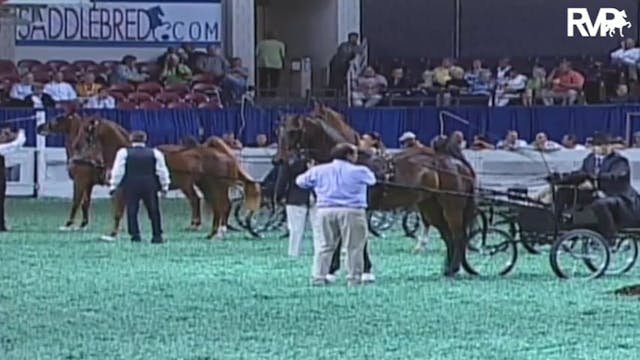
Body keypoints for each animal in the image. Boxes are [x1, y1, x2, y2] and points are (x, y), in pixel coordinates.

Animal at [35, 112, 205, 231]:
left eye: (57, 119)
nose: (39, 127)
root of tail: (190, 150)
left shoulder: (81, 181)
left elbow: (77, 202)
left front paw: (69, 224)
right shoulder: (90, 184)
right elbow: (86, 203)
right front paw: (83, 224)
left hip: (185, 185)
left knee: (194, 200)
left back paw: (194, 224)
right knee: (195, 200)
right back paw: (194, 224)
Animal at [74, 116, 262, 239]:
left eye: (87, 133)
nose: (76, 150)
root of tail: (221, 153)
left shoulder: (121, 189)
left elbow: (118, 211)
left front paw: (112, 233)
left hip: (215, 186)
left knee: (222, 205)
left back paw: (218, 231)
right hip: (205, 185)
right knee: (215, 205)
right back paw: (212, 232)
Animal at [278, 102, 478, 278]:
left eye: (293, 131)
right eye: (279, 131)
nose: (280, 159)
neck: (351, 161)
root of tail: (457, 163)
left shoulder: (359, 208)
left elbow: (356, 238)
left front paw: (360, 267)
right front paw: (339, 267)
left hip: (452, 207)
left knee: (458, 235)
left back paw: (452, 269)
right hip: (431, 208)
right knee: (448, 235)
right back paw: (448, 268)